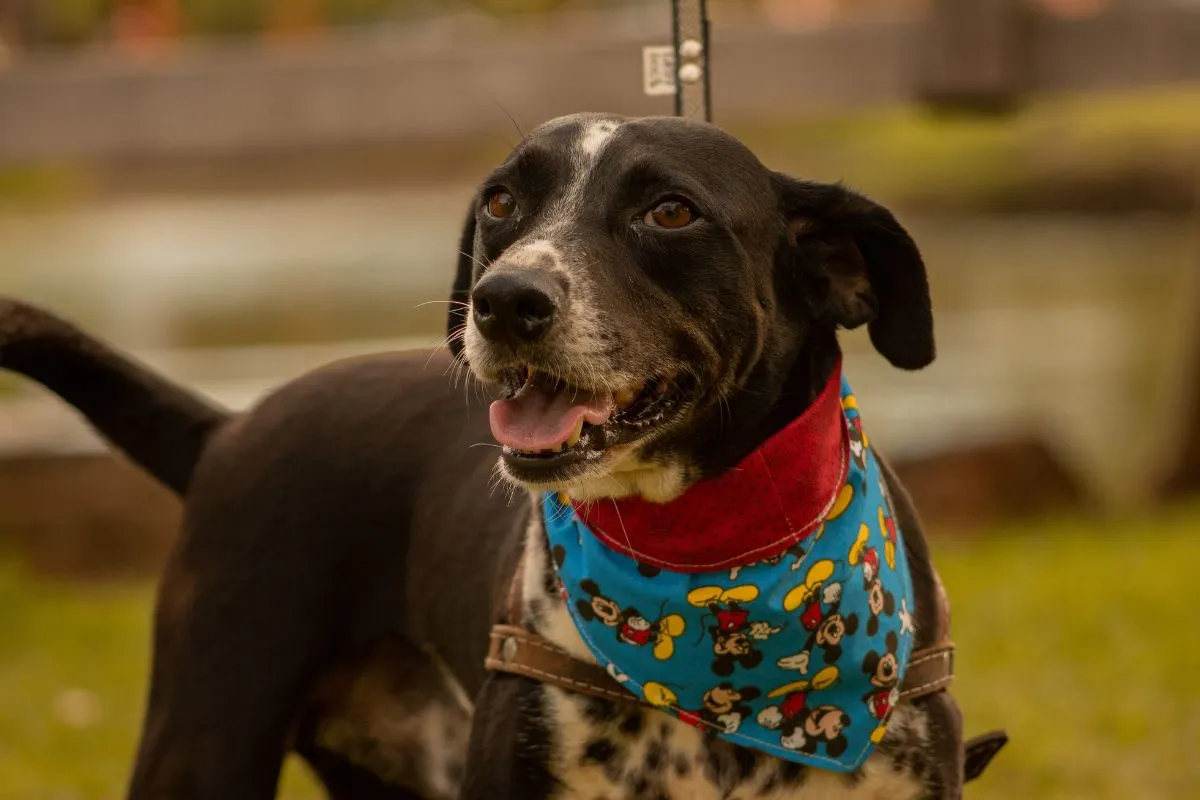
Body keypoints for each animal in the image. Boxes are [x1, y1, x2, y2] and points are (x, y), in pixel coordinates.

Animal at [0, 113, 1003, 800]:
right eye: (501, 203)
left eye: (670, 210)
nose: (505, 299)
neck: (715, 566)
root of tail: (228, 428)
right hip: (204, 736)